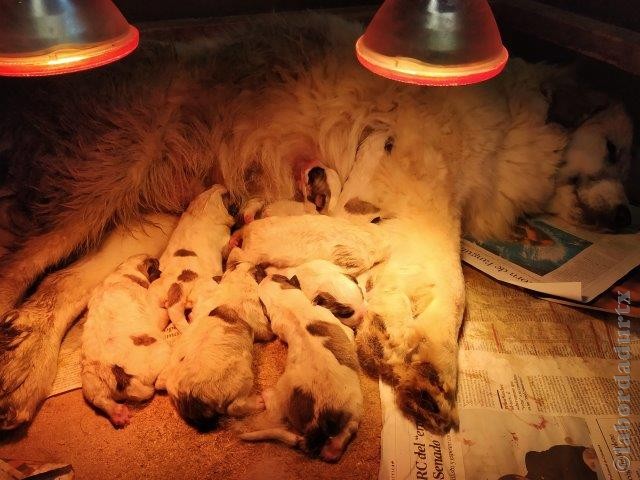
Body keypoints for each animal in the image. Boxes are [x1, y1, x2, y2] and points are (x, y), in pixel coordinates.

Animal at [80, 255, 170, 428]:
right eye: (155, 266)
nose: (161, 269)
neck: (123, 274)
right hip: (162, 352)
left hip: (90, 381)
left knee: (101, 400)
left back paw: (119, 415)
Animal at [159, 258, 274, 432]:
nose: (263, 266)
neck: (236, 279)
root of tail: (188, 396)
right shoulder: (258, 317)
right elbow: (266, 329)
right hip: (242, 374)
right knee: (235, 407)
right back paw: (258, 402)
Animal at [240, 272, 362, 464]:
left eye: (280, 278)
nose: (269, 274)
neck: (288, 305)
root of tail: (318, 422)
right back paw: (267, 395)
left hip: (352, 411)